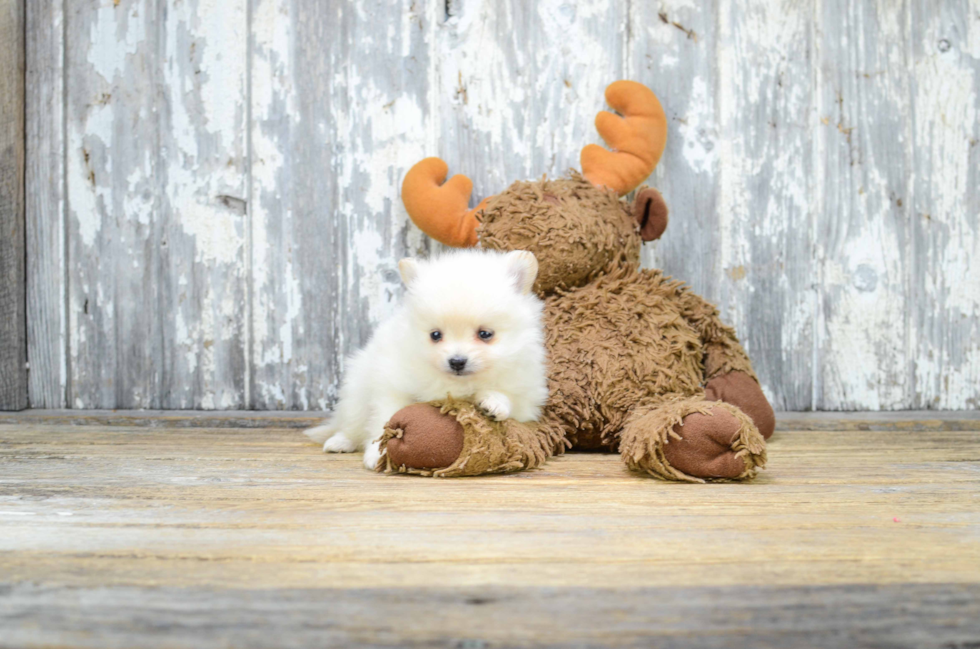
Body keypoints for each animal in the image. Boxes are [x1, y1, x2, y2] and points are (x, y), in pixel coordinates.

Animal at [304, 249, 548, 470]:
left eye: (485, 334)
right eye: (435, 335)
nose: (457, 361)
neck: (457, 385)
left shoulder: (525, 394)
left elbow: (506, 396)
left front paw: (493, 403)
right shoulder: (393, 388)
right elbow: (384, 422)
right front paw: (377, 455)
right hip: (356, 393)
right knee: (352, 424)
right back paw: (339, 441)